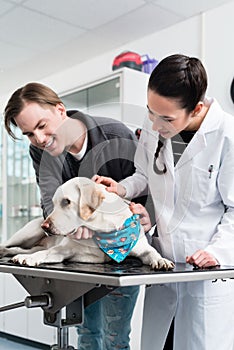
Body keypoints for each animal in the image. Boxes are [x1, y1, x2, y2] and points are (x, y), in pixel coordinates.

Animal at [0, 176, 174, 270]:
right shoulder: (62, 250)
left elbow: (152, 252)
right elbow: (45, 253)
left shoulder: (142, 248)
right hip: (28, 233)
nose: (45, 226)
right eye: (54, 203)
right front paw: (30, 259)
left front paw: (162, 260)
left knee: (18, 249)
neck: (103, 231)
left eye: (66, 201)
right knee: (11, 245)